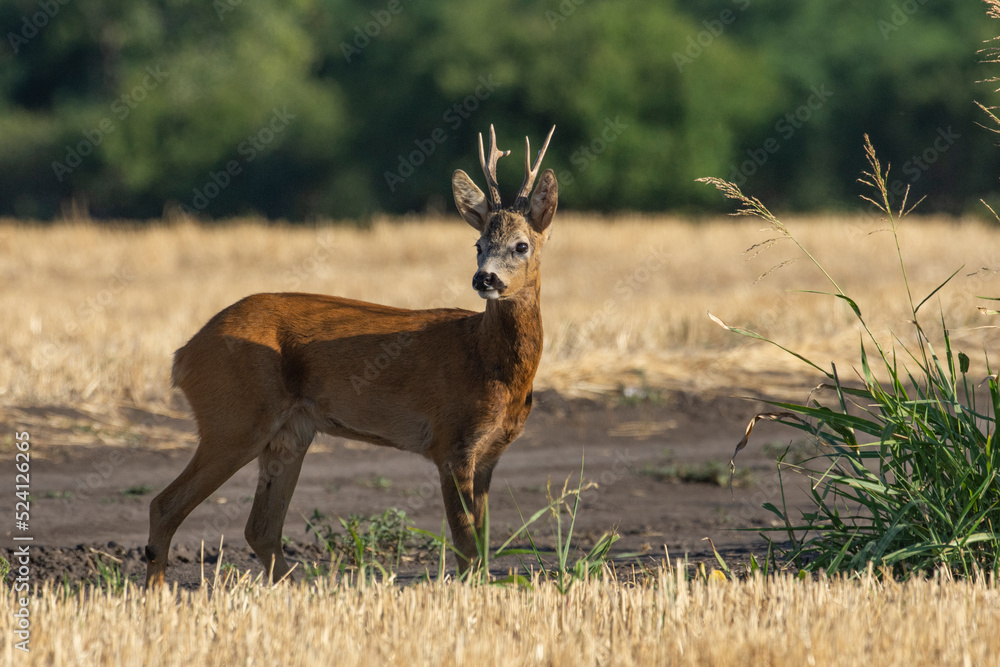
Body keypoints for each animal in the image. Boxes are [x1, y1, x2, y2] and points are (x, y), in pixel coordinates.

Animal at [144, 125, 558, 587]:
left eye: (521, 245)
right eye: (478, 243)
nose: (484, 278)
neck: (489, 362)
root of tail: (184, 354)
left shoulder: (488, 453)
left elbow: (482, 547)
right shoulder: (451, 442)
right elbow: (467, 550)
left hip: (290, 432)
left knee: (260, 529)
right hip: (234, 416)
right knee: (166, 505)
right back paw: (157, 595)